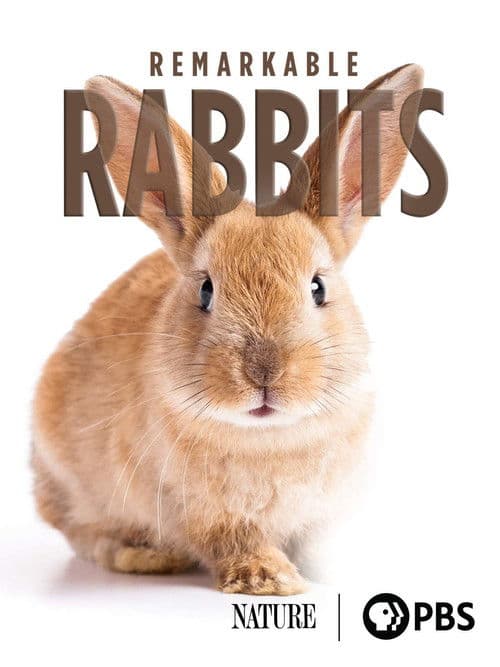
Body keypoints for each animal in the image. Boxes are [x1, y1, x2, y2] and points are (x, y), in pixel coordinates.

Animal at [32, 64, 423, 595]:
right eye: (205, 291)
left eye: (318, 287)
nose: (264, 372)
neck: (269, 439)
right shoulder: (203, 512)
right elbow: (234, 540)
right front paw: (270, 580)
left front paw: (332, 571)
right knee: (84, 532)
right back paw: (144, 554)